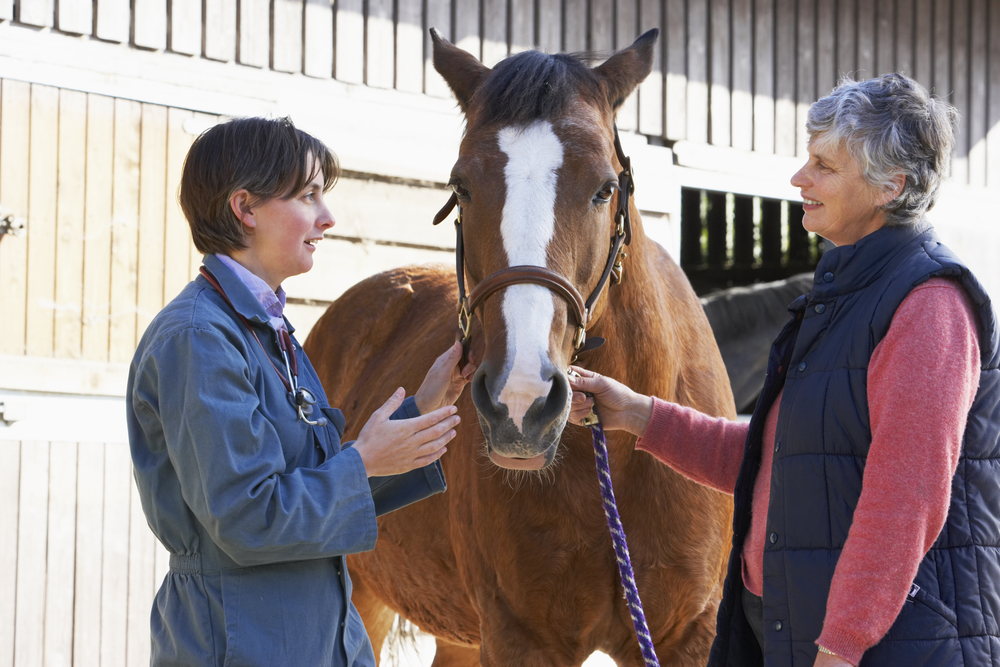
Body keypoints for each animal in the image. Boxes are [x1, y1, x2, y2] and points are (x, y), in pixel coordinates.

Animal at [304, 29, 735, 666]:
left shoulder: (687, 638)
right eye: (461, 186)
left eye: (605, 188)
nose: (521, 401)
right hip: (366, 597)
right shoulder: (521, 638)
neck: (616, 461)